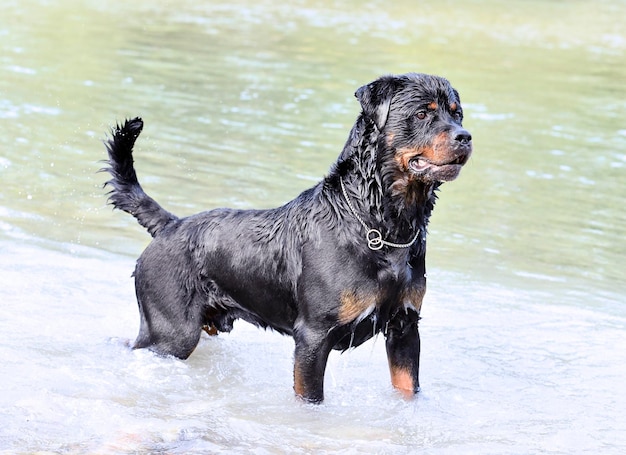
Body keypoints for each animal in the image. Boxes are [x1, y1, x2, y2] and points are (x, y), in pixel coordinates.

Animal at [102, 73, 470, 404]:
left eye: (457, 114)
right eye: (422, 113)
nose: (465, 137)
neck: (382, 222)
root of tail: (170, 224)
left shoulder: (405, 327)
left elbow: (407, 389)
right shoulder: (313, 336)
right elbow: (310, 400)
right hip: (169, 332)